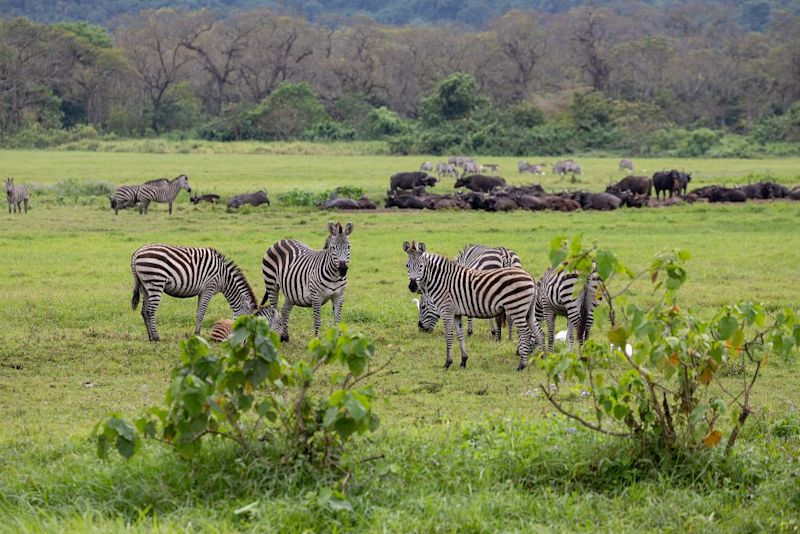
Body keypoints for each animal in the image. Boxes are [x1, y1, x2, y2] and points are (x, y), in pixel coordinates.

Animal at [132, 245, 282, 342]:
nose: (249, 337)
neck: (224, 278)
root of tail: (136, 253)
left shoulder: (201, 291)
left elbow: (199, 312)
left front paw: (196, 333)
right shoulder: (208, 288)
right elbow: (201, 312)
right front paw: (197, 335)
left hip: (145, 286)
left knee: (144, 311)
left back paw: (150, 337)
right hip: (155, 281)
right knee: (150, 311)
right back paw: (156, 337)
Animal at [404, 241, 548, 370]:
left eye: (421, 266)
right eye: (407, 266)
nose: (412, 286)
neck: (442, 281)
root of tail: (530, 277)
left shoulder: (447, 311)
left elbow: (449, 336)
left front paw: (448, 363)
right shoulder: (456, 313)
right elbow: (460, 335)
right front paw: (463, 361)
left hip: (516, 308)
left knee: (526, 334)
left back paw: (522, 365)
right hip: (528, 311)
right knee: (539, 332)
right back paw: (543, 359)